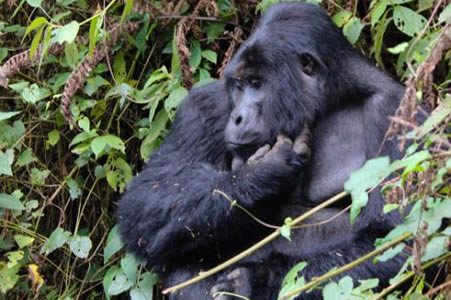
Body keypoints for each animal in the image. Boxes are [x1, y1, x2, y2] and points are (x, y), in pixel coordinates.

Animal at [119, 2, 414, 300]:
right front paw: (260, 174)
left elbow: (397, 237)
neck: (327, 101)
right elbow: (146, 196)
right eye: (239, 86)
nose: (237, 117)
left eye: (256, 82)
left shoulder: (393, 108)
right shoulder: (206, 105)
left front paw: (255, 282)